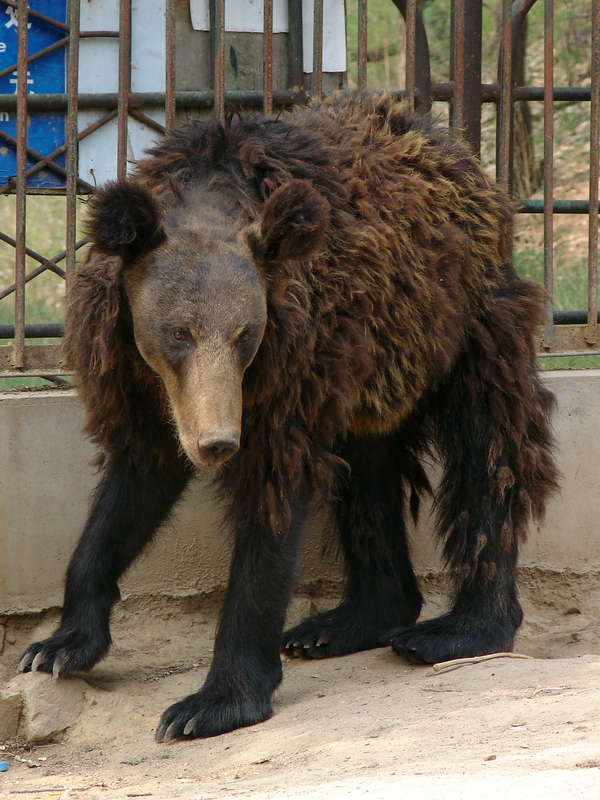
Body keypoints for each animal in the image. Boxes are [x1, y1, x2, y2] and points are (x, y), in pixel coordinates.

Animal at [18, 91, 558, 742]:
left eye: (245, 334)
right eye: (178, 333)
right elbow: (131, 488)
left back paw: (456, 629)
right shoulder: (132, 375)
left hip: (462, 325)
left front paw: (208, 703)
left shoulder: (292, 361)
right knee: (367, 474)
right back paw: (344, 622)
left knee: (488, 454)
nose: (217, 443)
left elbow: (273, 503)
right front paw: (57, 645)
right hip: (373, 367)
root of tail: (455, 150)